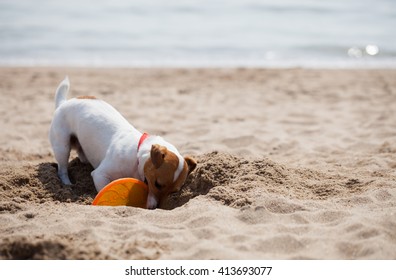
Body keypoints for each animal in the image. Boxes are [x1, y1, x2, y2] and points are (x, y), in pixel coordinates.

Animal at [49, 77, 196, 209]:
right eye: (157, 184)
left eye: (174, 191)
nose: (158, 207)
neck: (136, 156)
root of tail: (63, 103)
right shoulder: (100, 175)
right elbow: (103, 188)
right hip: (62, 146)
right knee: (62, 169)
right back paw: (67, 184)